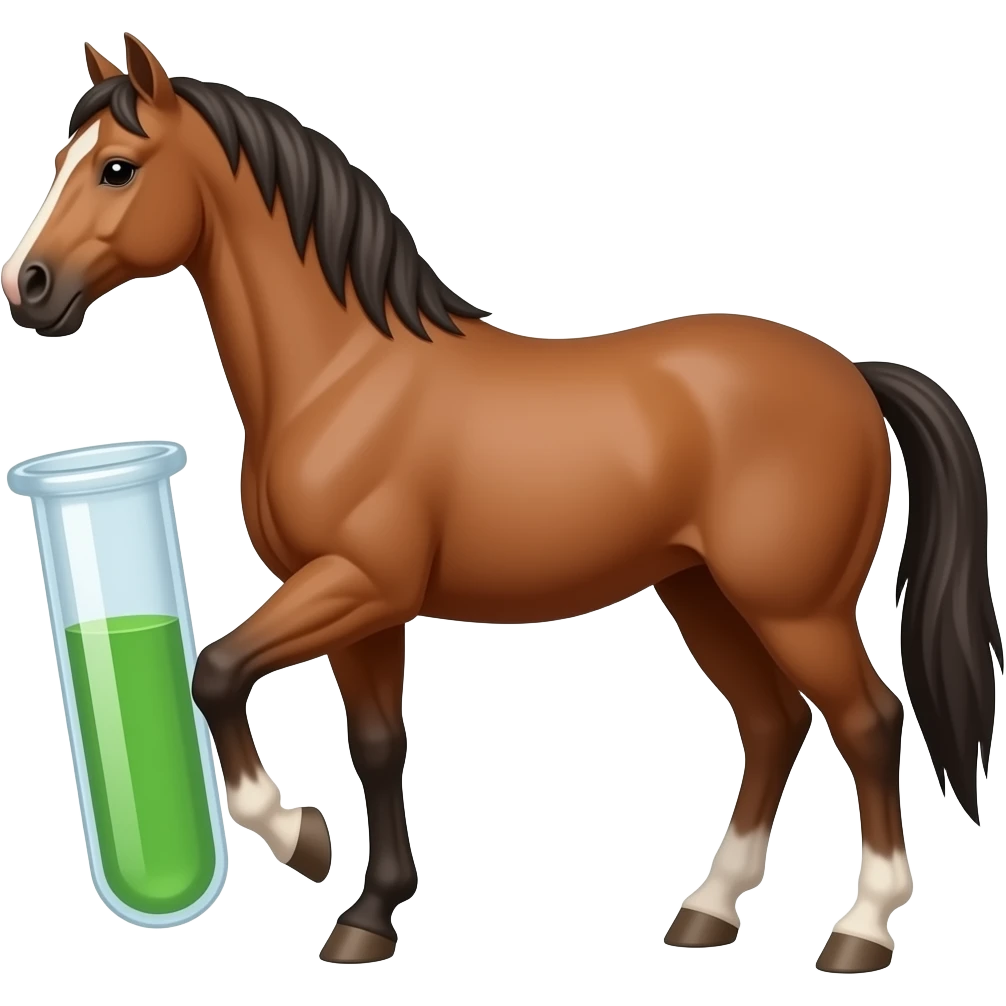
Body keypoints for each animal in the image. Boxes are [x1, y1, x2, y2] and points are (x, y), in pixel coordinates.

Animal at [4, 34, 1000, 972]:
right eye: (61, 159)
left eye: (117, 166)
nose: (28, 287)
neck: (341, 377)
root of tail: (853, 375)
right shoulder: (366, 611)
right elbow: (377, 744)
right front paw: (368, 915)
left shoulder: (357, 583)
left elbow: (216, 671)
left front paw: (303, 843)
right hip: (703, 594)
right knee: (773, 723)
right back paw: (708, 913)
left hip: (795, 605)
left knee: (867, 723)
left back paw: (860, 933)